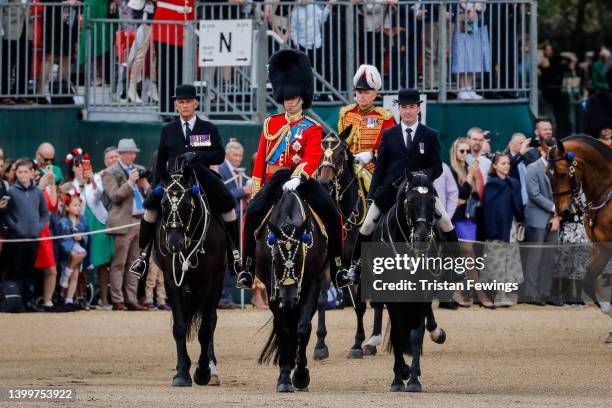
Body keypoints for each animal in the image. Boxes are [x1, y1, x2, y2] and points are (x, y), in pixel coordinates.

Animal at [154, 167, 226, 388]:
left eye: (186, 204)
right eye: (163, 204)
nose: (173, 244)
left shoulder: (210, 284)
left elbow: (205, 330)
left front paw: (202, 372)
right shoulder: (172, 281)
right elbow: (179, 326)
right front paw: (181, 372)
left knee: (210, 321)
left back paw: (211, 368)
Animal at [256, 186, 328, 390]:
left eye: (301, 257)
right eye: (275, 259)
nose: (288, 299)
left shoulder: (313, 282)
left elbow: (303, 329)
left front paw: (301, 376)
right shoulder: (271, 287)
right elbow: (283, 329)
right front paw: (284, 377)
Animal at [316, 128, 444, 360]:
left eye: (340, 153)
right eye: (322, 152)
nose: (324, 183)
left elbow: (361, 305)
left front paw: (358, 344)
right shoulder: (334, 265)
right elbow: (322, 301)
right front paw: (320, 345)